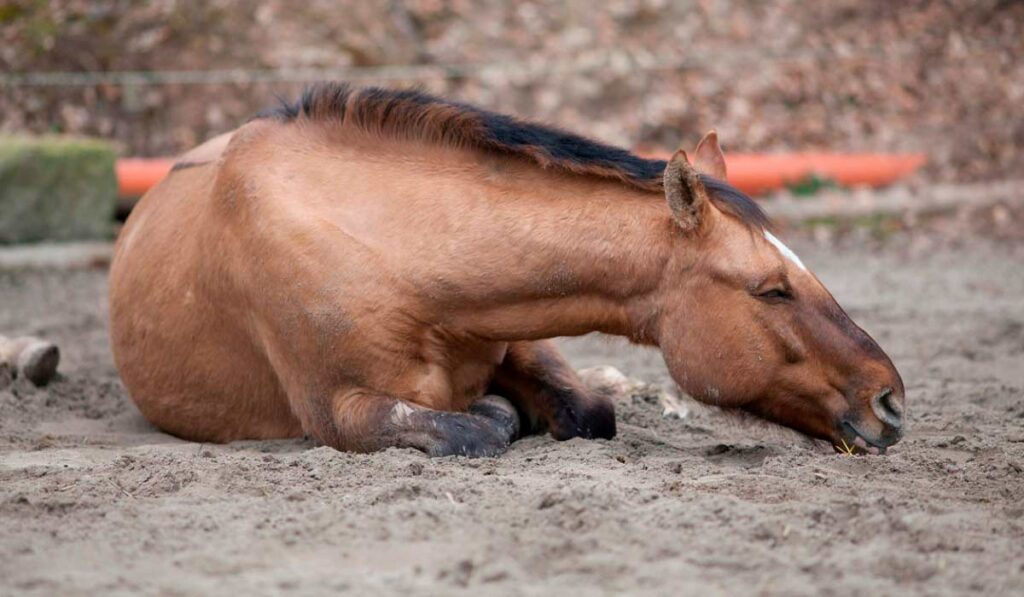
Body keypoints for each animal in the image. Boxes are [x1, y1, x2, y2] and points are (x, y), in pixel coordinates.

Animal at [108, 82, 909, 458]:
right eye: (771, 289)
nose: (891, 401)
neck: (395, 252)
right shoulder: (340, 411)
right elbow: (477, 427)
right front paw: (500, 415)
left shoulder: (520, 331)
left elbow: (588, 410)